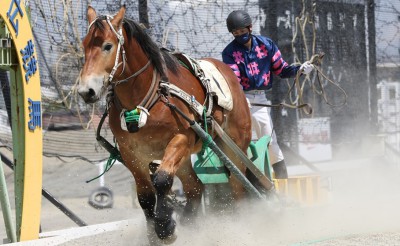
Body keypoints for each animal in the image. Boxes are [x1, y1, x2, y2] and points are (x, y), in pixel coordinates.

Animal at [77, 5, 250, 244]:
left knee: (237, 186)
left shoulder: (181, 139)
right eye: (84, 44)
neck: (144, 100)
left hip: (234, 147)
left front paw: (165, 226)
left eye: (107, 46)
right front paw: (156, 231)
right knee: (195, 187)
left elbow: (161, 179)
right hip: (185, 160)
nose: (86, 91)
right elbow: (145, 196)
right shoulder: (132, 154)